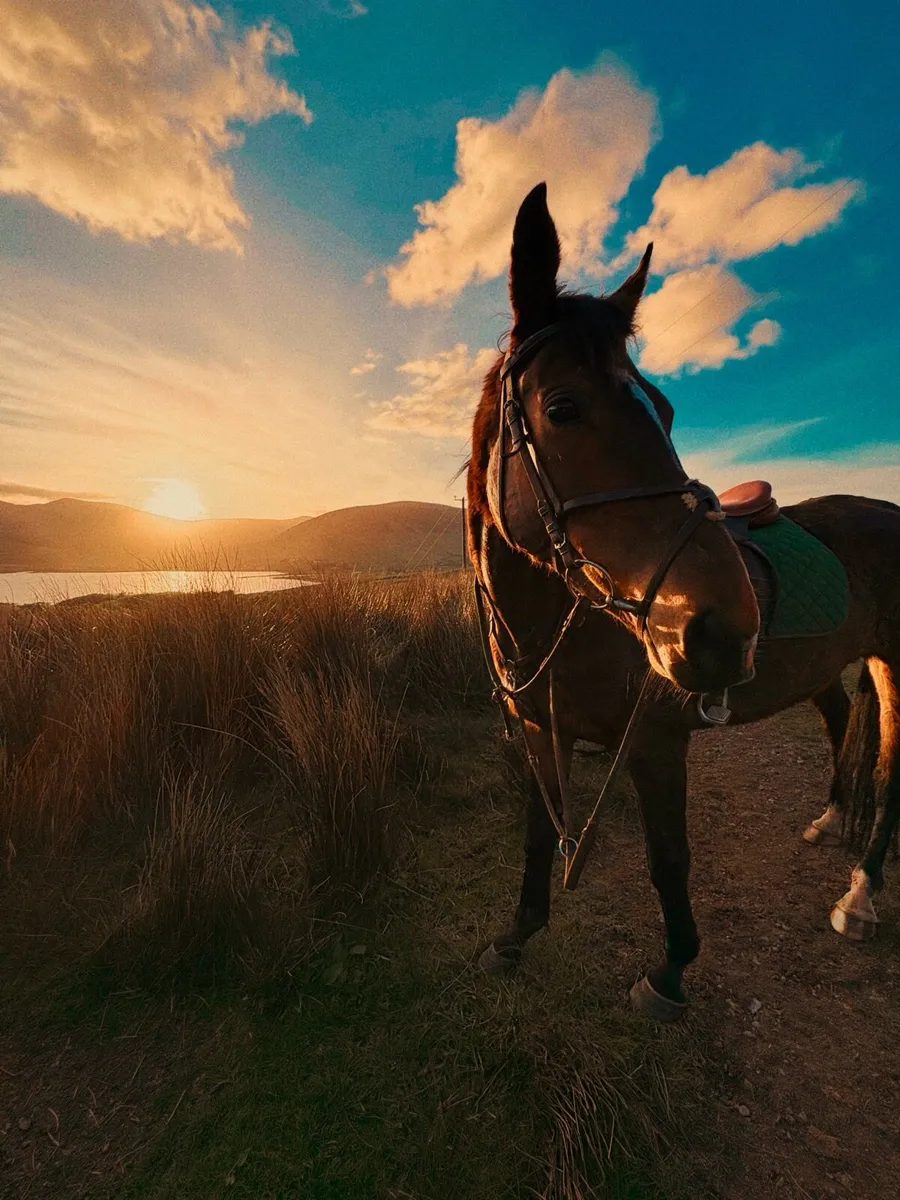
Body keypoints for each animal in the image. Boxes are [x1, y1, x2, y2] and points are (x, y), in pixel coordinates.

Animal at [466, 182, 900, 1022]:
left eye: (665, 411)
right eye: (561, 408)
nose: (723, 630)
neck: (560, 630)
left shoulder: (657, 742)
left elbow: (669, 859)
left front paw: (668, 974)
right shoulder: (539, 732)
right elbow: (538, 834)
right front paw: (515, 934)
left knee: (893, 774)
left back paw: (861, 893)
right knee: (838, 716)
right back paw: (832, 819)